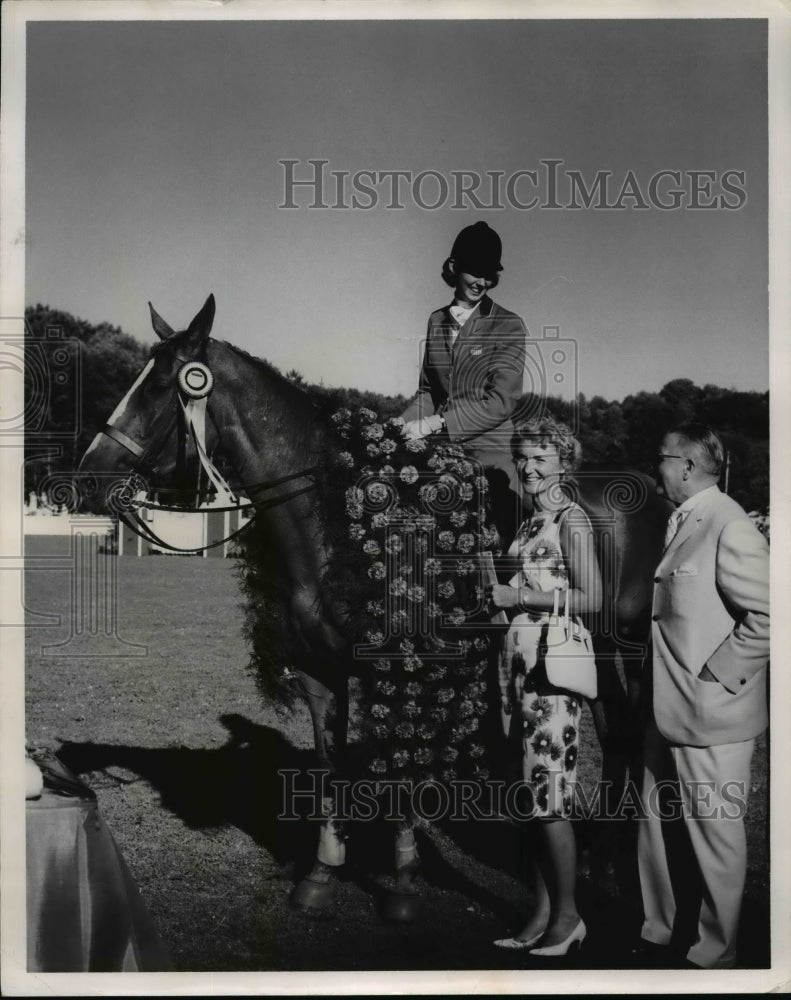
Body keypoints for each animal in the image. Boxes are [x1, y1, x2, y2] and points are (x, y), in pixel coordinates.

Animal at [80, 292, 672, 916]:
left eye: (160, 386)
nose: (89, 476)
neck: (335, 514)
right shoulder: (317, 672)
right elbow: (331, 765)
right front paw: (323, 870)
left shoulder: (400, 666)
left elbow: (399, 757)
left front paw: (405, 879)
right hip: (596, 650)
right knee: (616, 733)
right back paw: (597, 858)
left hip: (628, 647)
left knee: (628, 735)